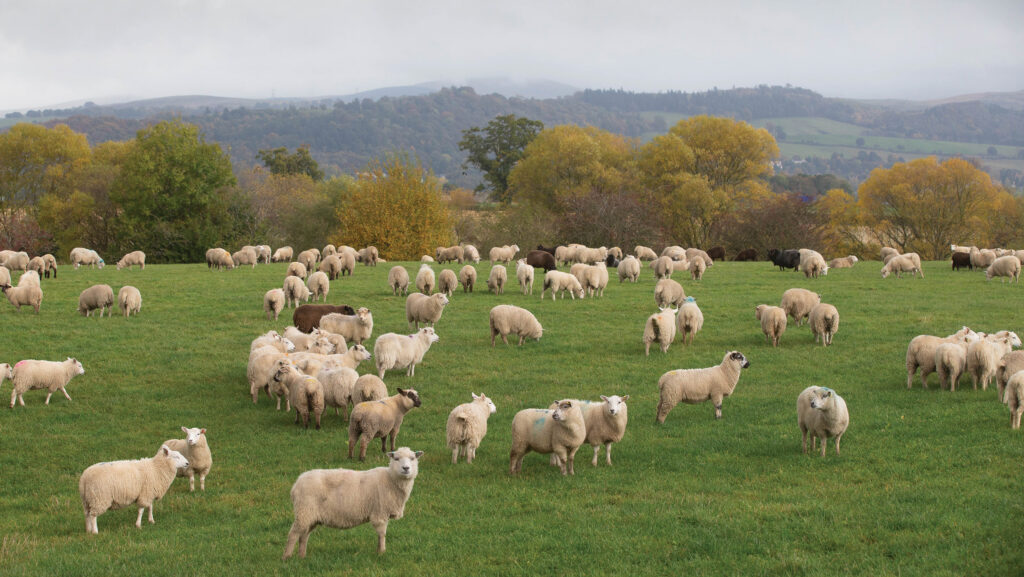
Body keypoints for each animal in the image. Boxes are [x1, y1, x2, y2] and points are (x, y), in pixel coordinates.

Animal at [282, 446, 422, 558]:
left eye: (413, 458)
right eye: (396, 458)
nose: (406, 468)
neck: (391, 479)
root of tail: (295, 485)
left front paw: (380, 551)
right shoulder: (380, 513)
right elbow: (382, 534)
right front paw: (381, 552)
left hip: (310, 515)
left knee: (304, 536)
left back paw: (302, 556)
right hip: (304, 511)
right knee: (293, 534)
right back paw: (287, 557)